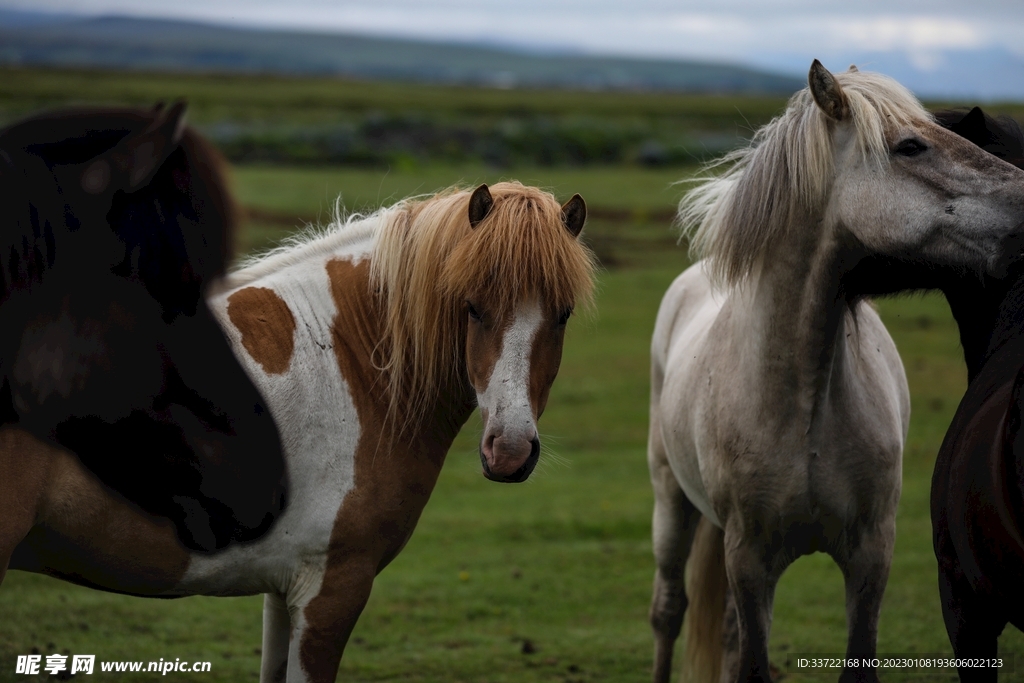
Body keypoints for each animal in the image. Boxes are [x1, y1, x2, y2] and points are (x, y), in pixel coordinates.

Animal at [0, 181, 596, 683]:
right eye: (471, 307)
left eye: (563, 315)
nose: (510, 451)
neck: (352, 357)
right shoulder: (331, 588)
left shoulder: (284, 591)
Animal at [647, 61, 1024, 683]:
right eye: (910, 146)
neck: (801, 399)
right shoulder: (750, 561)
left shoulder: (871, 557)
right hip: (672, 504)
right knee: (668, 611)